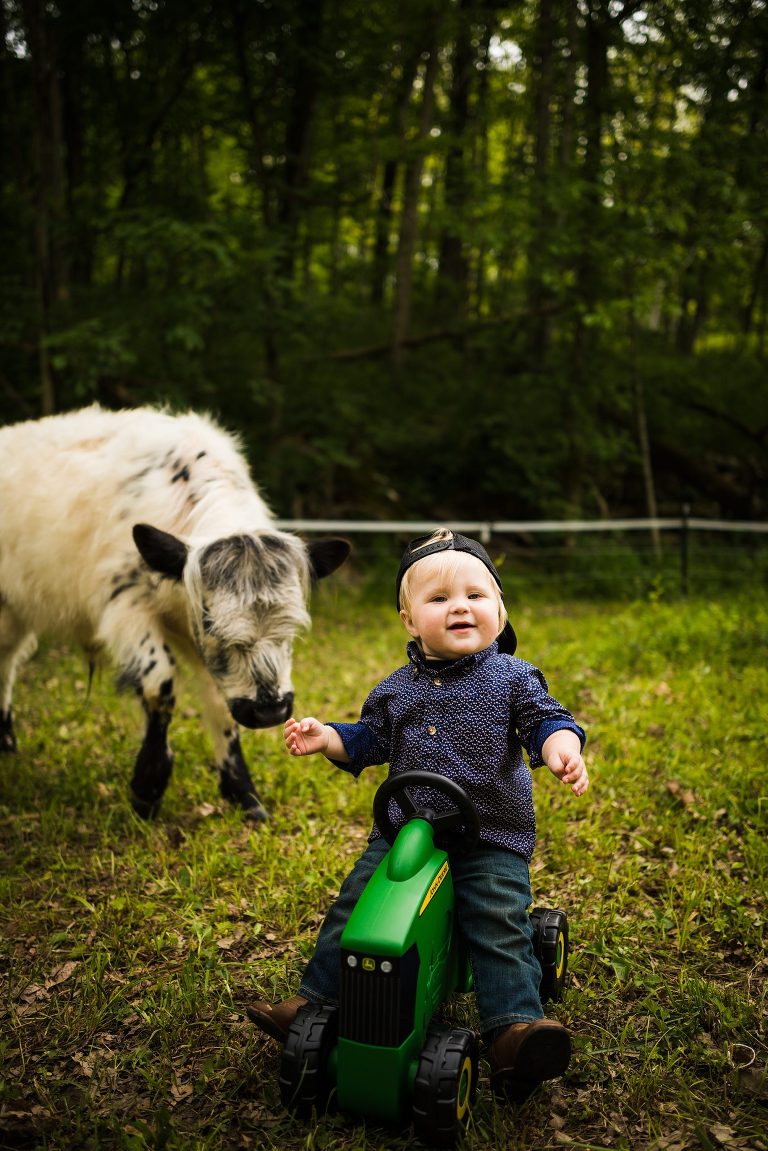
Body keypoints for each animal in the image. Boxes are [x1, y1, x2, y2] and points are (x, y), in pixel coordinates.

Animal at [0, 404, 350, 821]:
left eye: (291, 631)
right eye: (215, 628)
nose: (269, 711)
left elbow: (219, 703)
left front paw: (242, 792)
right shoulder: (127, 606)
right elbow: (160, 682)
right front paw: (147, 787)